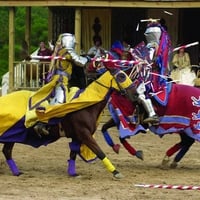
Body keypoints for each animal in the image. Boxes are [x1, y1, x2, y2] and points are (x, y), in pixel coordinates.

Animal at [0, 66, 136, 179]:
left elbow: (73, 153)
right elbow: (99, 151)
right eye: (122, 76)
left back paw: (17, 172)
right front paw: (116, 172)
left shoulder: (77, 137)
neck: (87, 106)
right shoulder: (85, 134)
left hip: (12, 137)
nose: (135, 95)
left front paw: (73, 173)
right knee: (7, 151)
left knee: (7, 151)